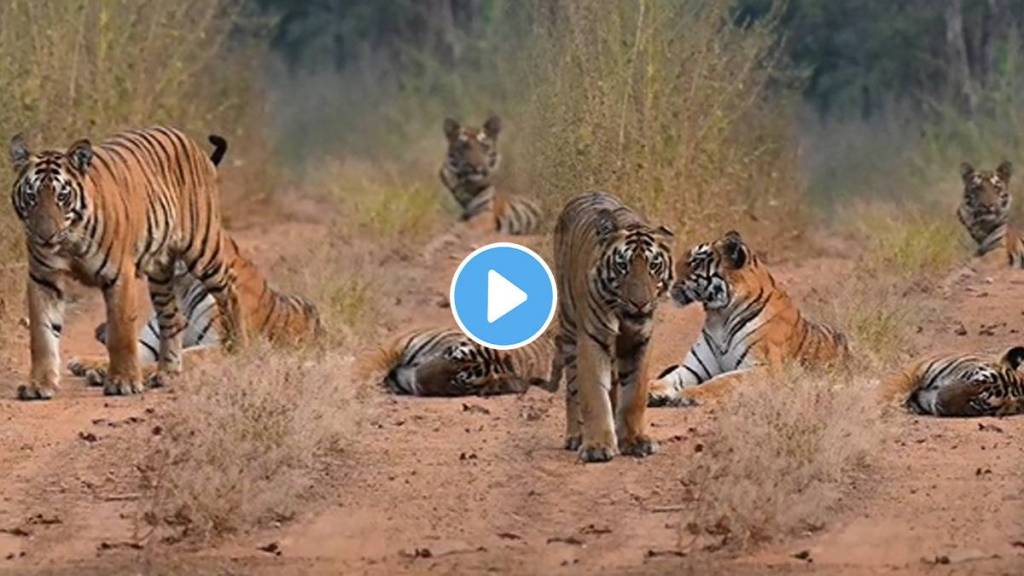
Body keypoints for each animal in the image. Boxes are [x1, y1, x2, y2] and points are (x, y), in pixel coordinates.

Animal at [66, 233, 321, 385]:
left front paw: (155, 373)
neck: (181, 286)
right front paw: (89, 365)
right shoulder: (149, 343)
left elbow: (187, 355)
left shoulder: (221, 344)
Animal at [548, 192, 675, 461]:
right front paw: (597, 446)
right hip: (570, 327)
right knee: (573, 388)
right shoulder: (592, 339)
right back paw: (576, 436)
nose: (640, 303)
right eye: (623, 266)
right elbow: (595, 395)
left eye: (653, 266)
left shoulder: (639, 342)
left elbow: (634, 394)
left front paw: (635, 440)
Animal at [647, 227, 847, 403]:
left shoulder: (765, 368)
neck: (719, 317)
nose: (665, 278)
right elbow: (669, 378)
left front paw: (690, 393)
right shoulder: (693, 368)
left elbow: (722, 380)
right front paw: (650, 389)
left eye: (696, 261)